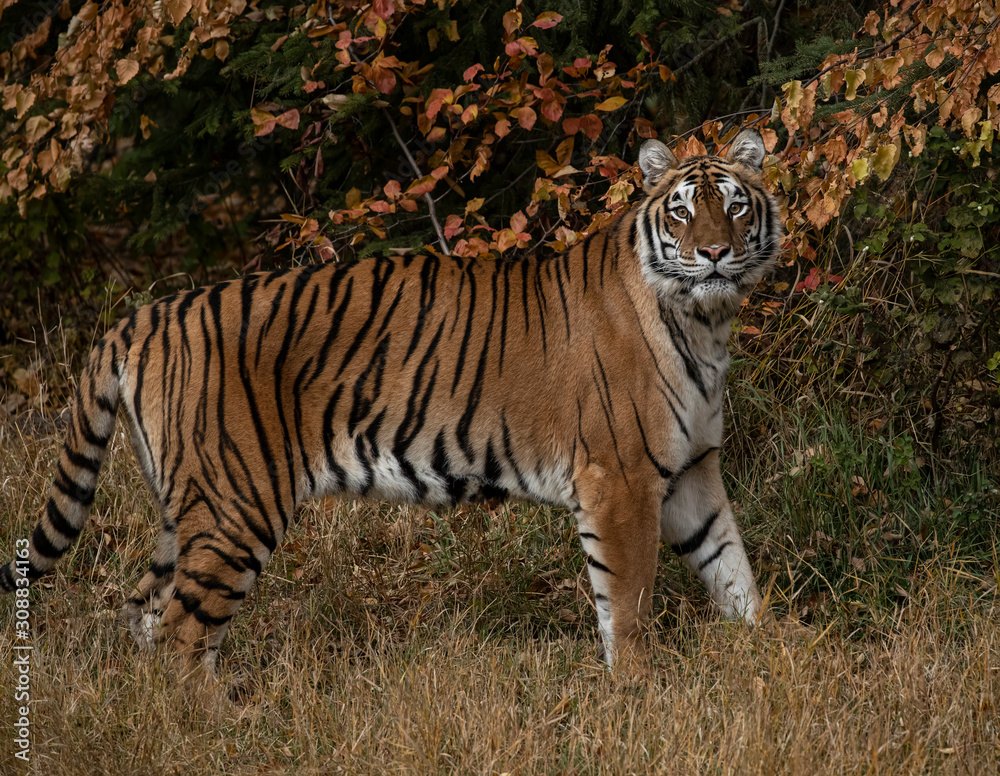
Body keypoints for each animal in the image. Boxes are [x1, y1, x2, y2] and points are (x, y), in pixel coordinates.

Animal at [1, 129, 781, 675]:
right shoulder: (620, 481)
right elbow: (628, 606)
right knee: (181, 636)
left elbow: (733, 572)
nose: (714, 252)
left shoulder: (691, 471)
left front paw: (776, 654)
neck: (706, 323)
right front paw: (637, 691)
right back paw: (219, 726)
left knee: (143, 612)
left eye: (735, 204)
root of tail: (144, 316)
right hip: (236, 505)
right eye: (681, 212)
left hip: (184, 508)